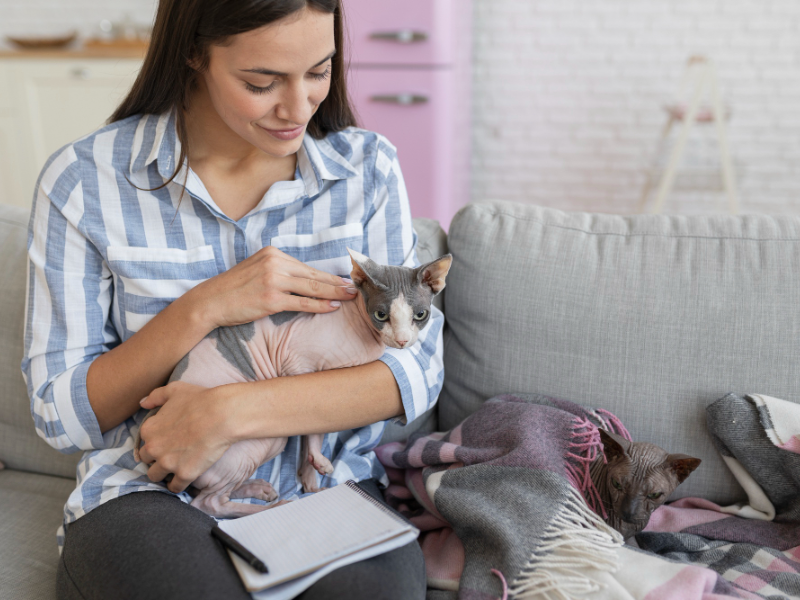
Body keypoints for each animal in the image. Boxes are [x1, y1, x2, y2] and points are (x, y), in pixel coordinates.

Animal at [134, 250, 454, 520]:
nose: (402, 341)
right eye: (381, 315)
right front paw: (317, 464)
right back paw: (269, 508)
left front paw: (310, 477)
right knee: (208, 503)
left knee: (214, 492)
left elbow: (312, 429)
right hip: (254, 444)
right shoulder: (298, 367)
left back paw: (259, 489)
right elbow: (310, 433)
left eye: (420, 315)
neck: (359, 327)